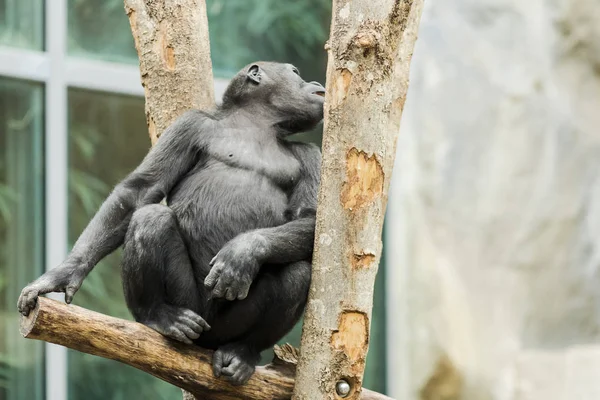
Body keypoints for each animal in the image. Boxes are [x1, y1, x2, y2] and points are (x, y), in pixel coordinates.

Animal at [17, 61, 324, 384]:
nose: (314, 83)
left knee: (298, 272)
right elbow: (140, 191)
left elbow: (310, 219)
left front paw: (243, 251)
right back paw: (158, 316)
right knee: (151, 218)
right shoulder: (189, 126)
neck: (257, 125)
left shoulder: (309, 155)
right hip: (186, 302)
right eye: (295, 73)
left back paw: (242, 352)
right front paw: (63, 273)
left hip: (225, 329)